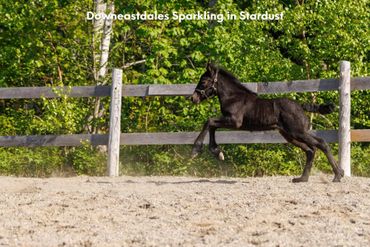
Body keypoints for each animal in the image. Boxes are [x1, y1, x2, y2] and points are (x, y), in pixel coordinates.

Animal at [191, 62, 344, 182]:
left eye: (203, 81)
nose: (193, 98)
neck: (234, 97)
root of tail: (300, 106)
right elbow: (212, 125)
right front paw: (217, 152)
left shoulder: (234, 122)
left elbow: (209, 122)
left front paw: (196, 150)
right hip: (290, 135)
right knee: (310, 150)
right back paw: (302, 178)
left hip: (297, 132)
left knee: (321, 143)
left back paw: (338, 175)